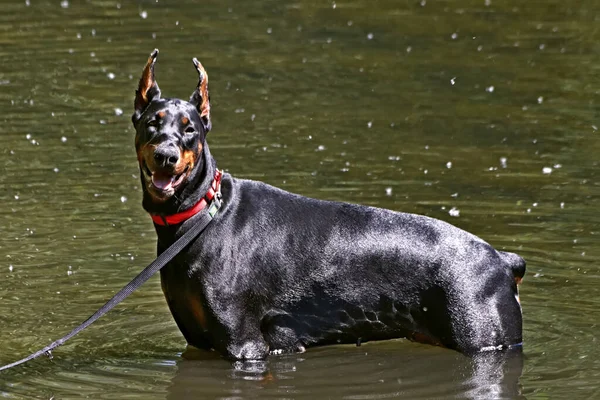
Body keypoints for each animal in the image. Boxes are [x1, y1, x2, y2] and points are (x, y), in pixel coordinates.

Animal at [131, 48, 524, 360]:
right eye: (152, 124)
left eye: (190, 129)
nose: (166, 155)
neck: (201, 216)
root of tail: (503, 260)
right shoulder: (199, 341)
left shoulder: (244, 344)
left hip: (485, 339)